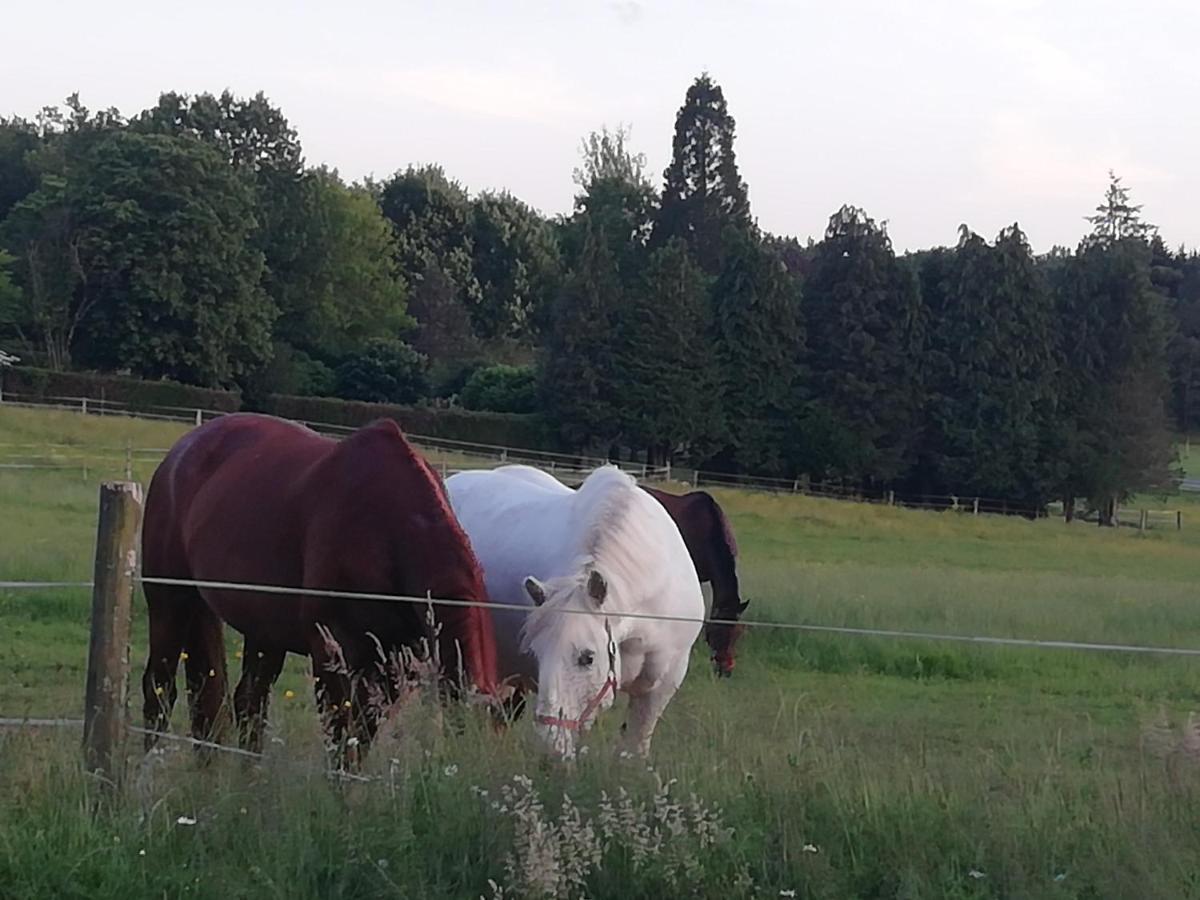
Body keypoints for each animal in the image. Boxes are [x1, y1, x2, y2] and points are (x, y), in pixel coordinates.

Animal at [142, 412, 499, 763]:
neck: (387, 527)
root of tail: (182, 451)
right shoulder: (331, 655)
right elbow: (343, 740)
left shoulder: (393, 666)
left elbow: (361, 737)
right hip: (169, 604)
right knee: (159, 688)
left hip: (262, 629)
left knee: (242, 700)